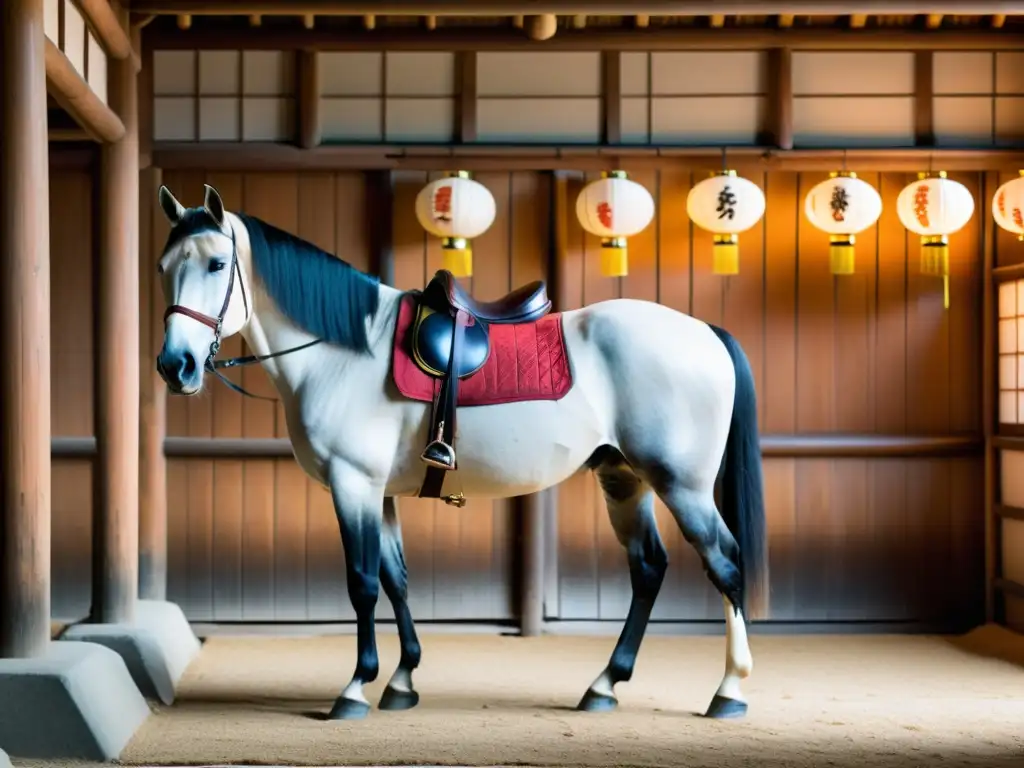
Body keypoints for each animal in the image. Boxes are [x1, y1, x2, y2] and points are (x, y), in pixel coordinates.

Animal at [151, 185, 765, 720]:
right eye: (163, 267)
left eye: (215, 264)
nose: (175, 366)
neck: (344, 352)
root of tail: (705, 332)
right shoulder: (380, 493)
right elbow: (395, 577)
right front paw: (402, 681)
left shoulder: (353, 485)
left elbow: (362, 583)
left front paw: (355, 688)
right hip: (624, 480)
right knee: (649, 568)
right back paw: (604, 684)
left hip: (680, 483)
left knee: (726, 563)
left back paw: (729, 692)